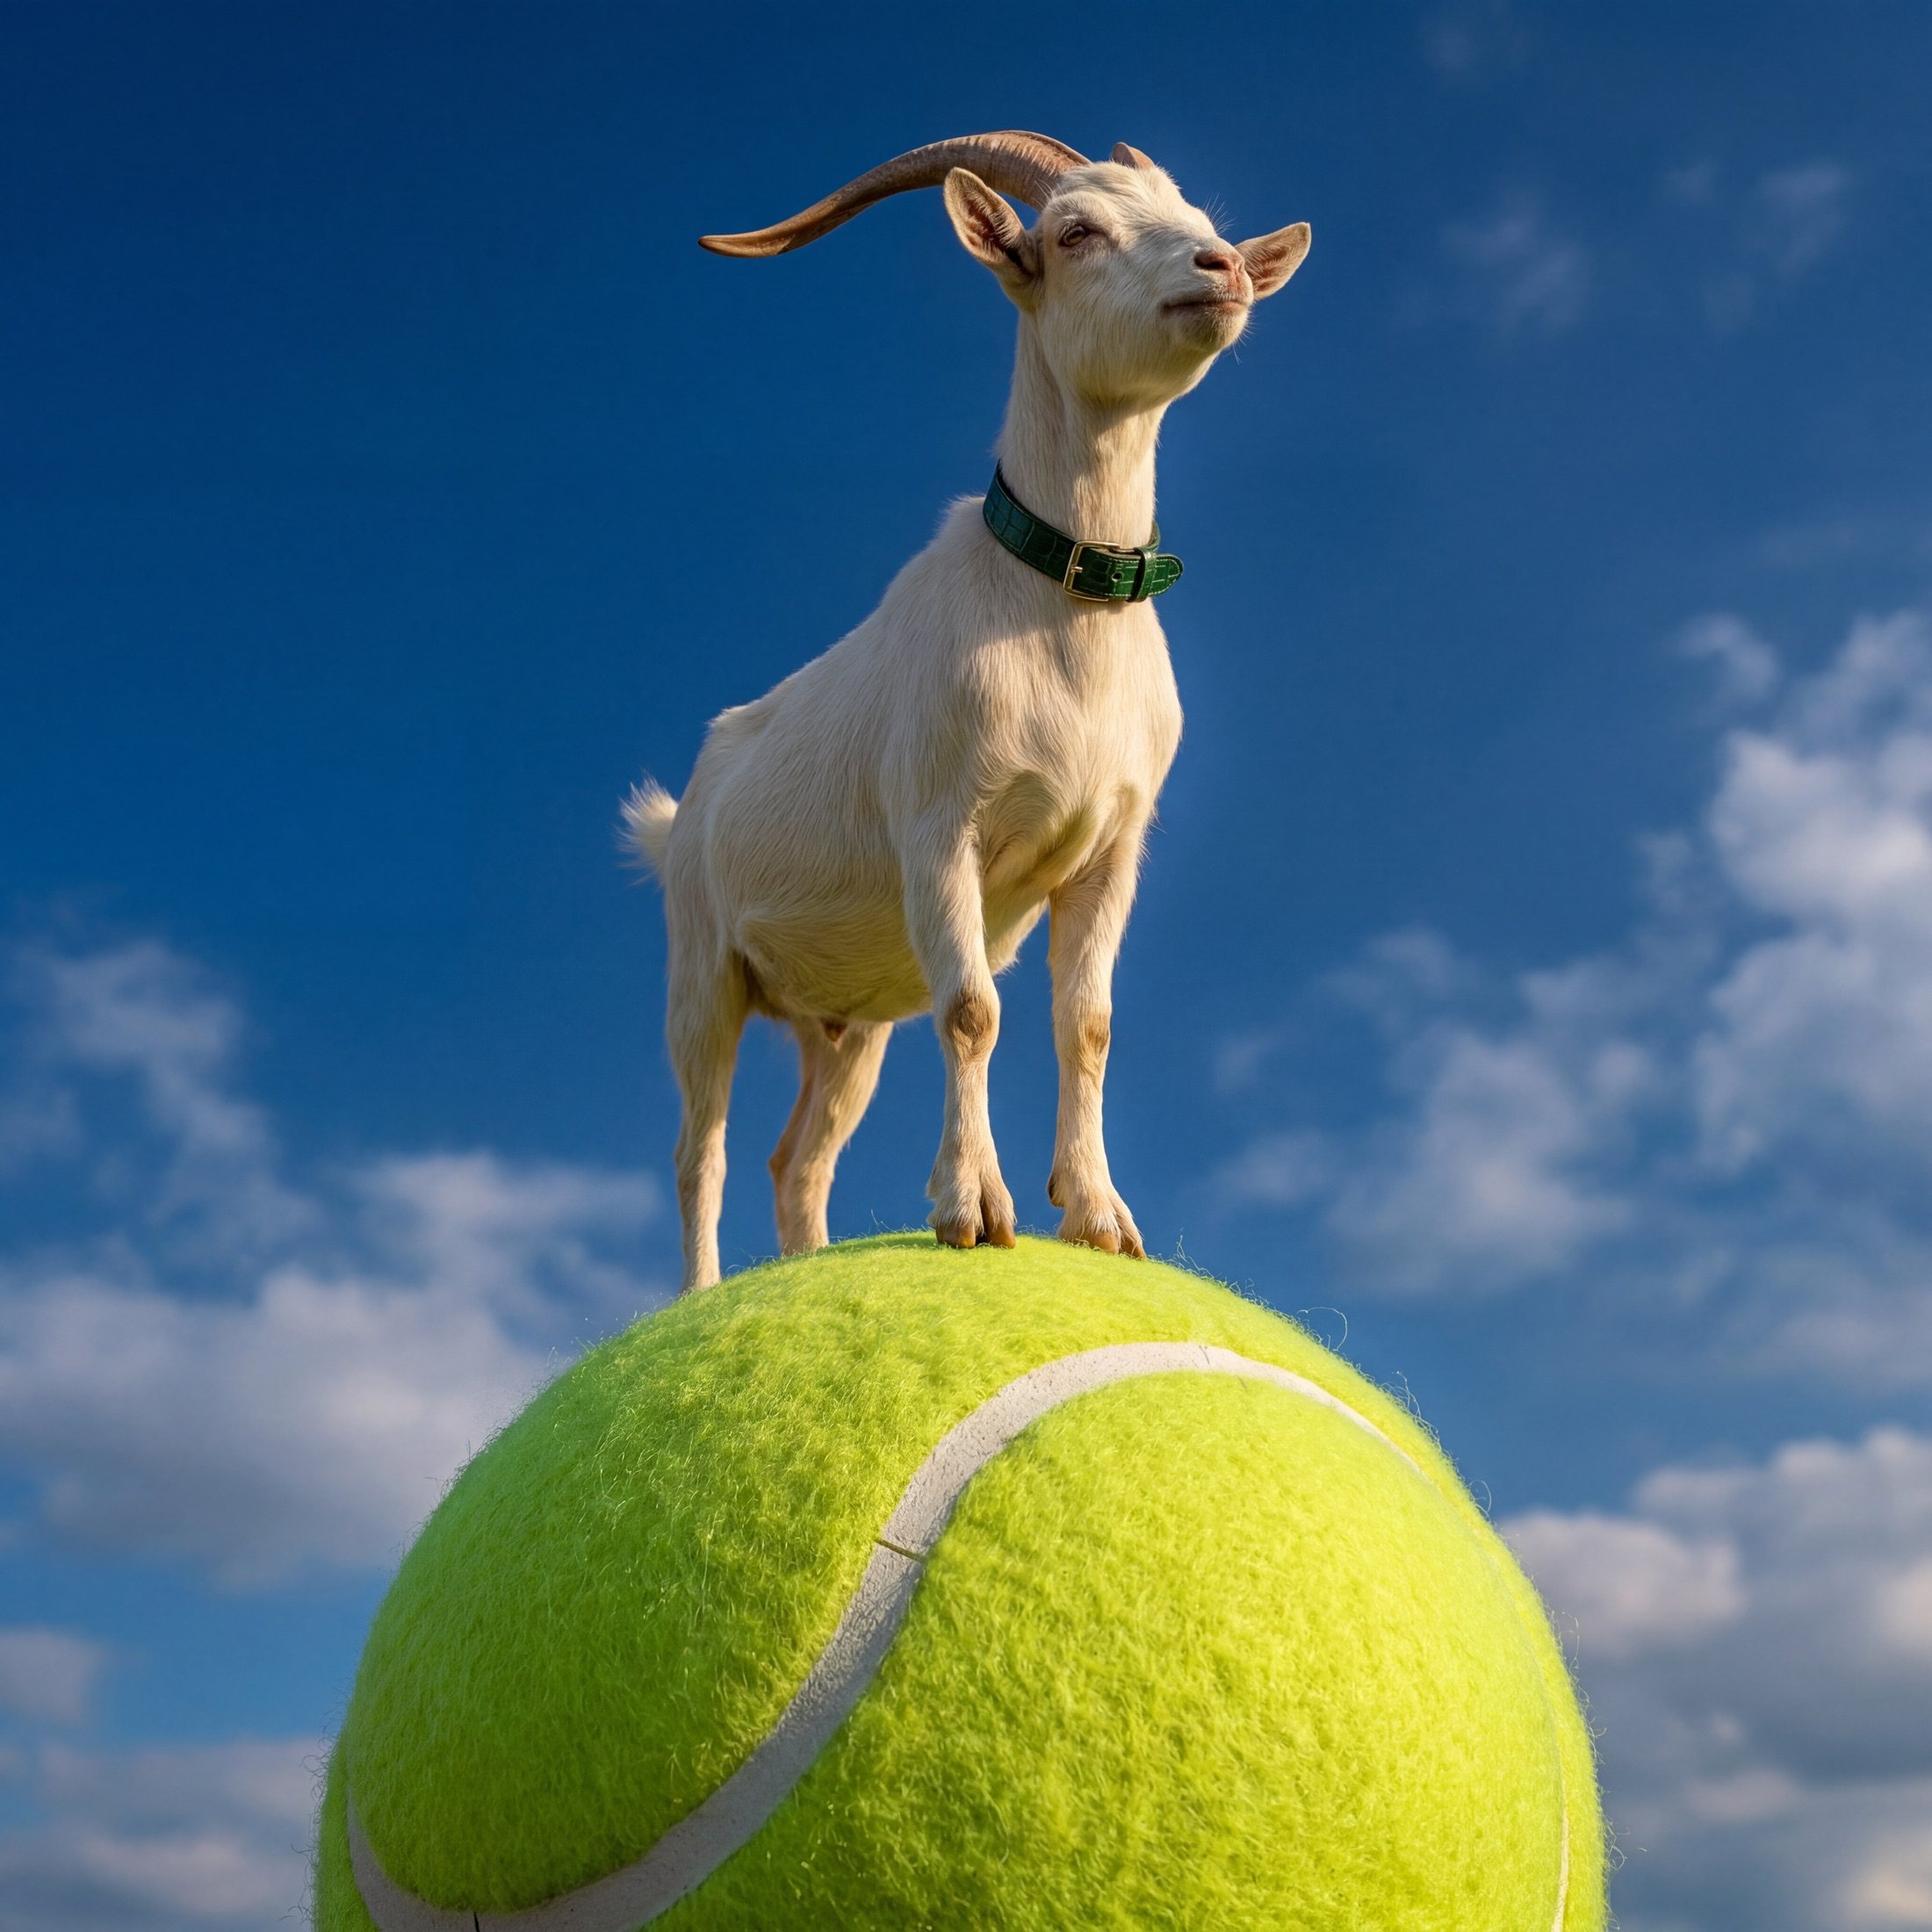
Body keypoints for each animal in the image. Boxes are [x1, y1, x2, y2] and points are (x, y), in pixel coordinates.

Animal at [626, 132, 1309, 1290]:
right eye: (1074, 232)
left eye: (1197, 217)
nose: (1222, 269)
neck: (1061, 612)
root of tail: (687, 806)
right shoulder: (942, 828)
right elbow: (974, 1010)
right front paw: (974, 1208)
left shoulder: (1110, 851)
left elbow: (1087, 1023)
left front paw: (1099, 1216)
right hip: (702, 971)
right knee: (699, 1148)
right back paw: (701, 1293)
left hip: (847, 1020)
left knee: (797, 1158)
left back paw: (807, 1263)